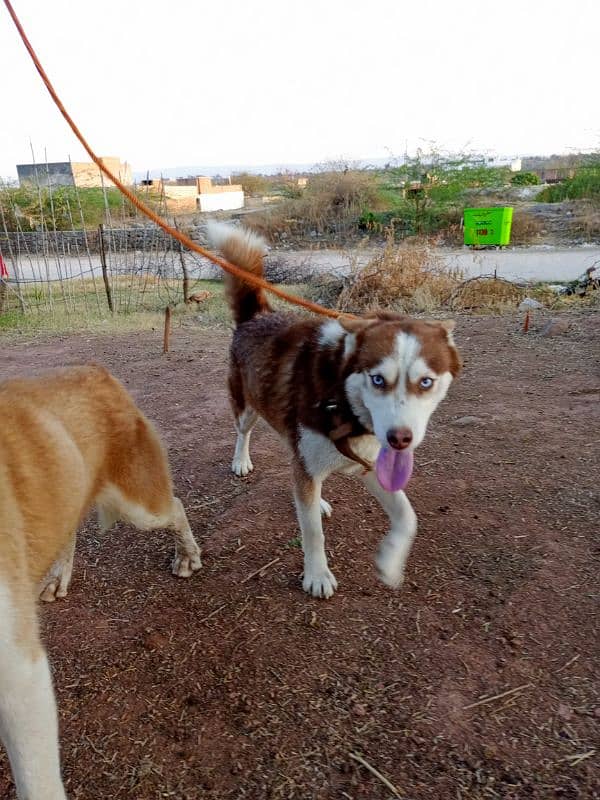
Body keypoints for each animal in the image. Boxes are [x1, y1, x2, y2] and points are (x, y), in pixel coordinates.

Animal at [0, 366, 202, 796]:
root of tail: (94, 370)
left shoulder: (19, 675)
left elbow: (38, 784)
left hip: (139, 507)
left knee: (175, 507)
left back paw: (187, 554)